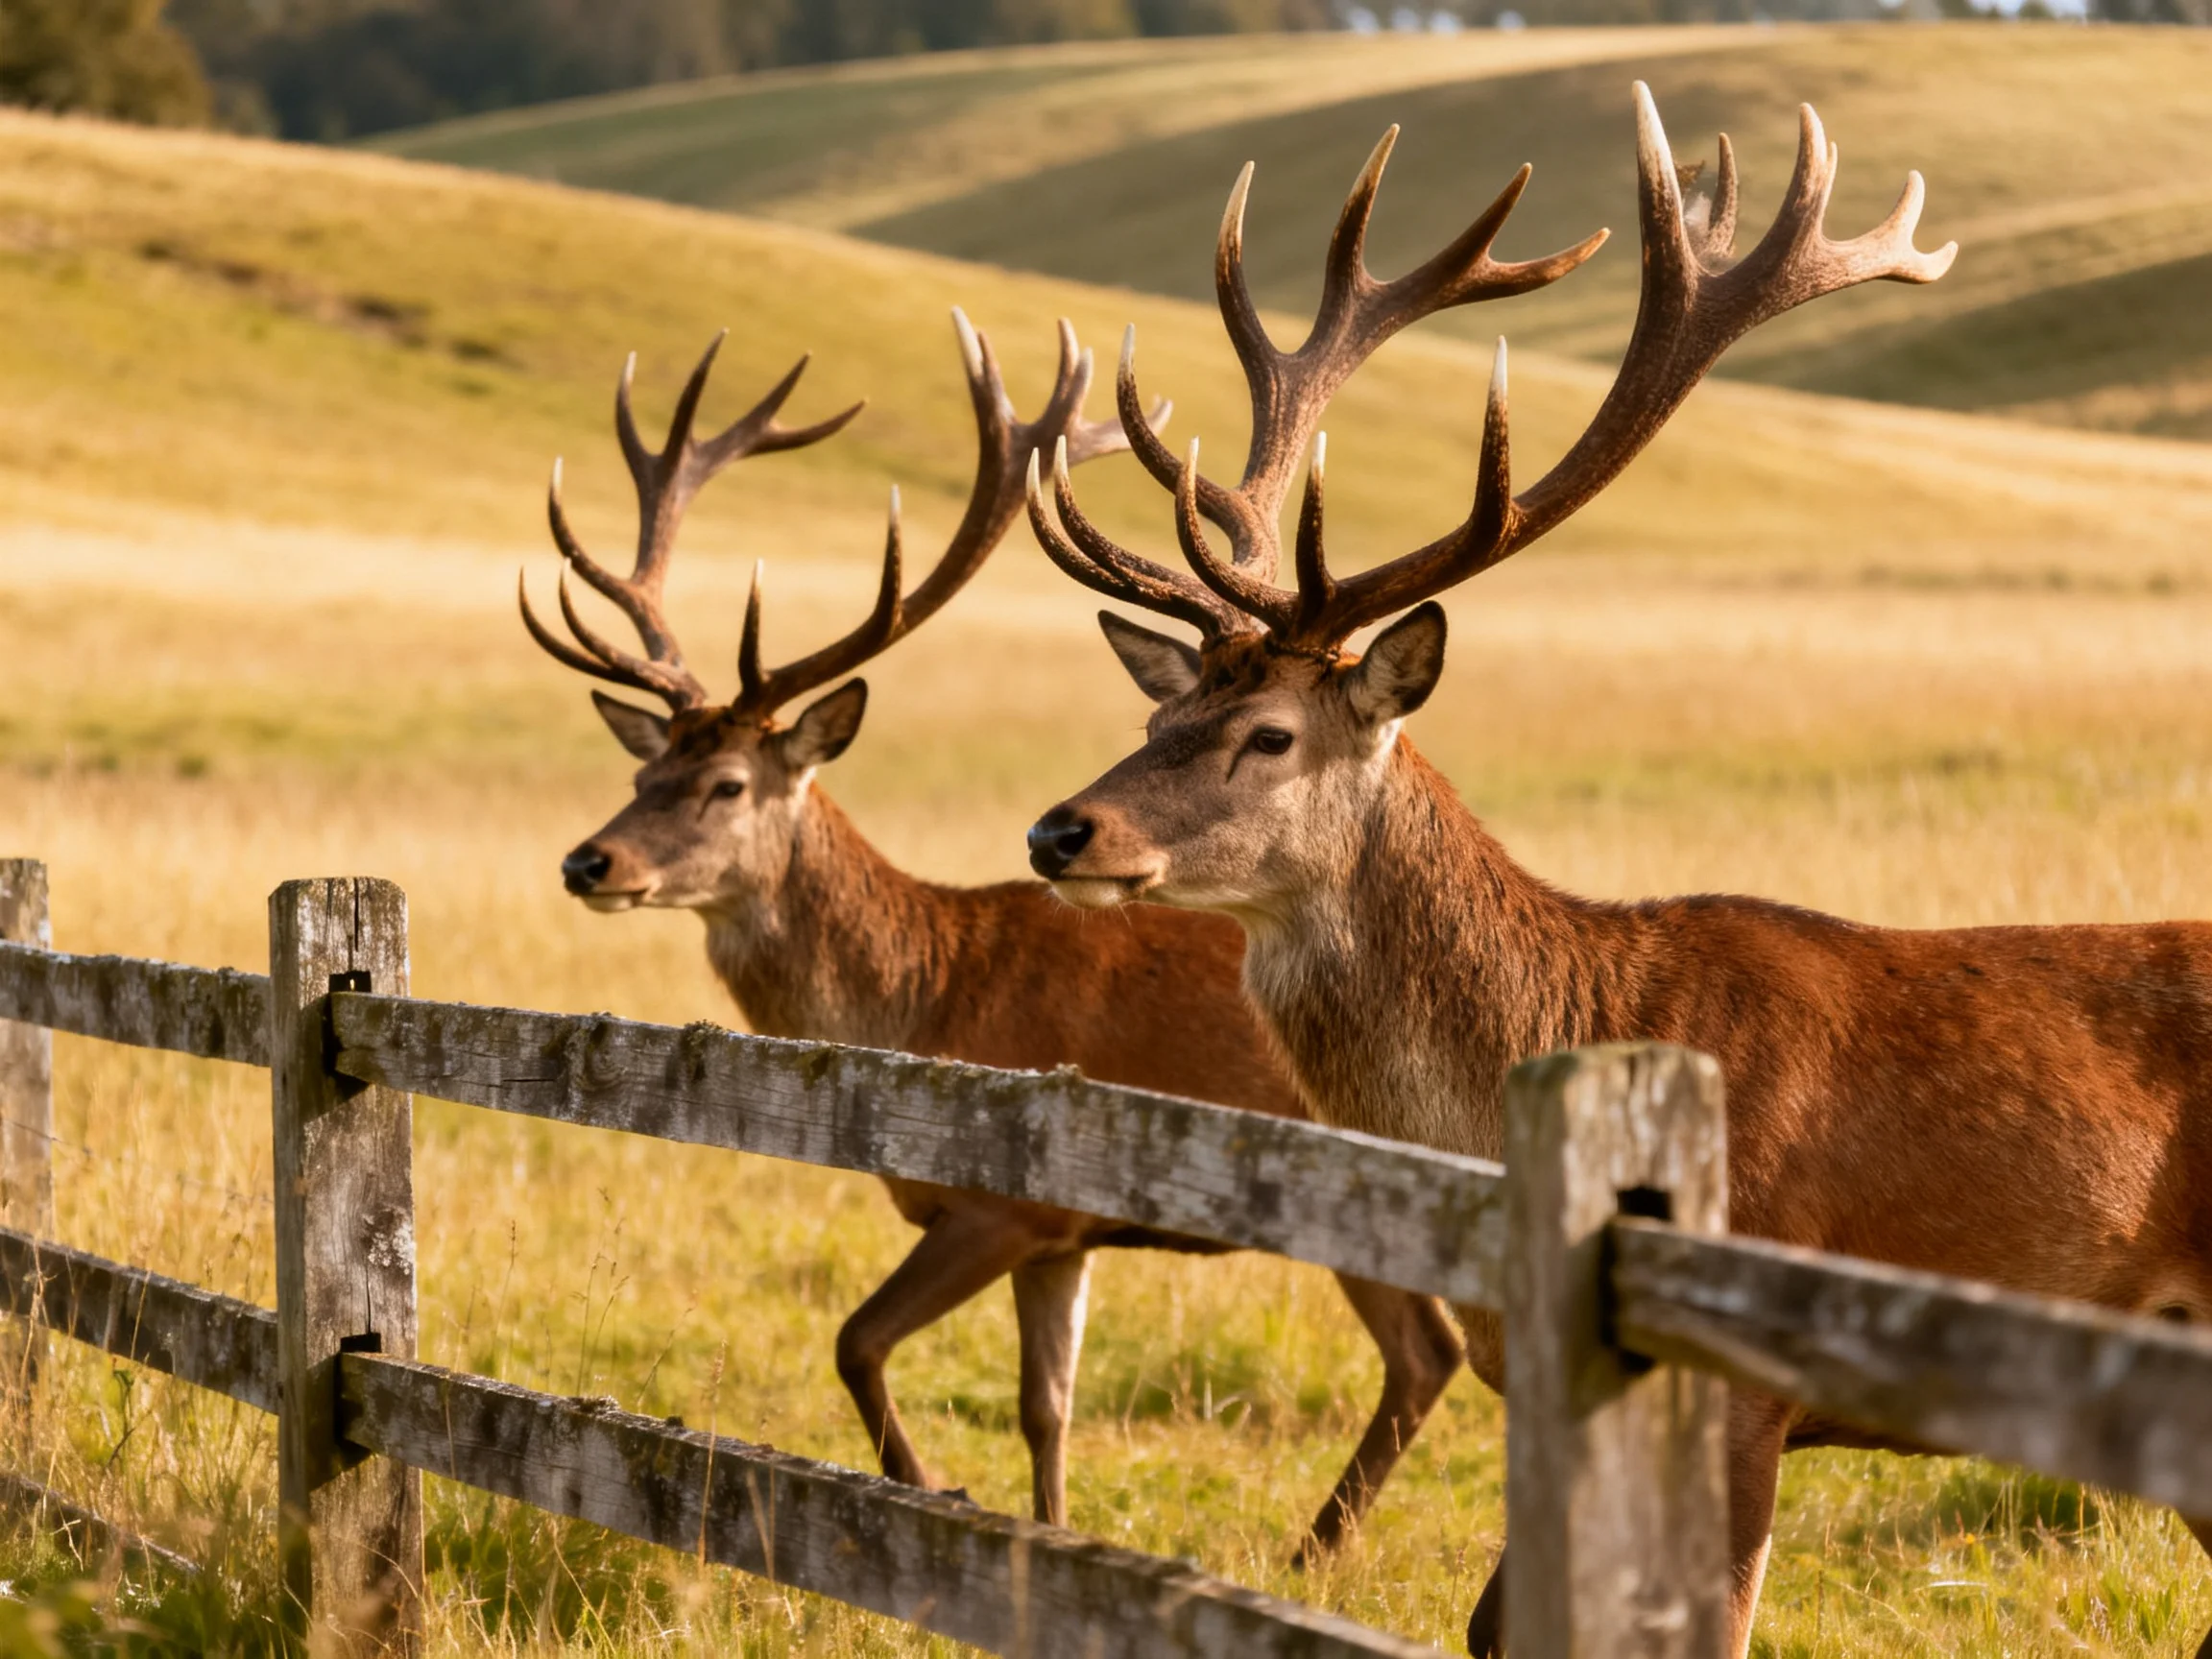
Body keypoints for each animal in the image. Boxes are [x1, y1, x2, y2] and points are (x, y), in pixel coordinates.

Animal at [517, 311, 1467, 1556]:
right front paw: (1046, 1537)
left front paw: (927, 1502)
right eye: (641, 772)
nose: (589, 861)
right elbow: (1045, 1408)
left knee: (1430, 1349)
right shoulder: (1063, 1238)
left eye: (726, 785)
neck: (927, 999)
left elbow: (858, 1342)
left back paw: (1313, 1554)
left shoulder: (1003, 1206)